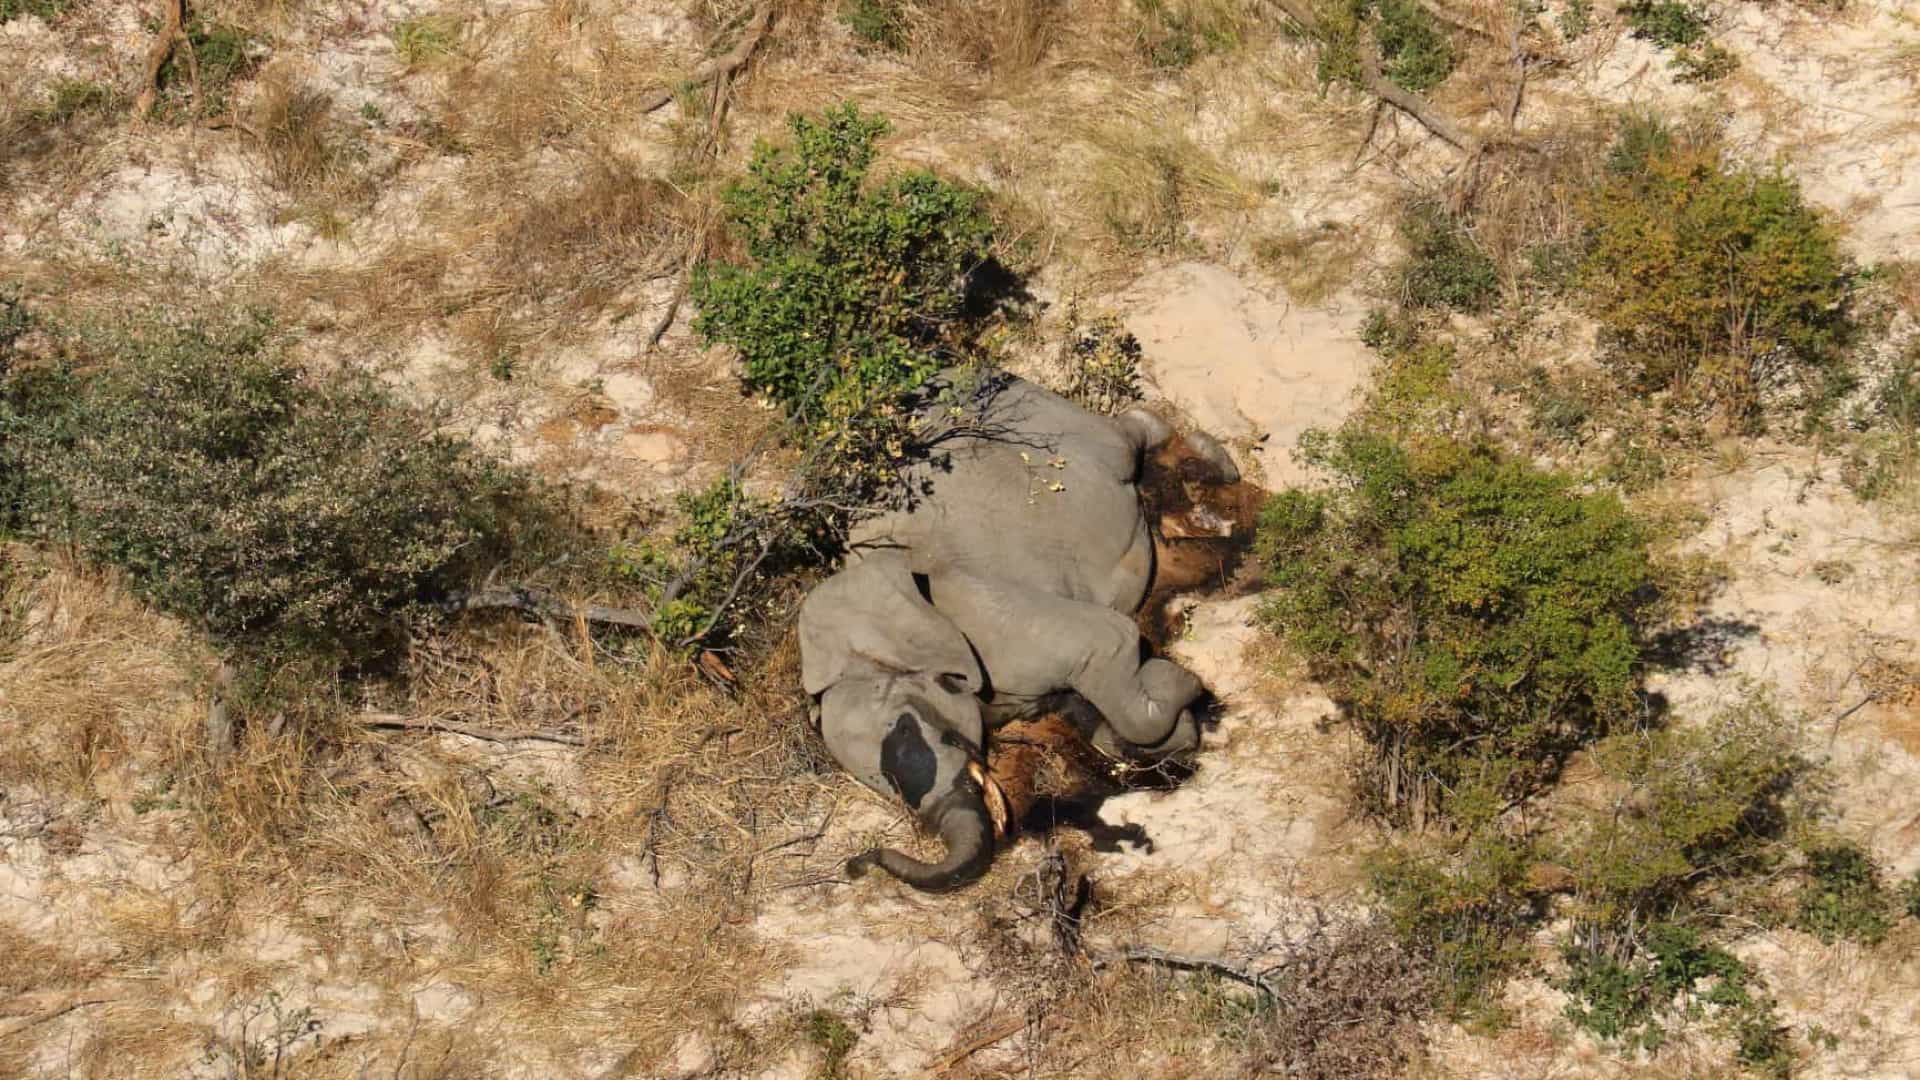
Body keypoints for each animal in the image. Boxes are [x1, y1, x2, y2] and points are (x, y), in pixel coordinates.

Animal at [798, 371, 1241, 891]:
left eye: (931, 734)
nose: (855, 863)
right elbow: (1092, 722)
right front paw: (1178, 723)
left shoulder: (988, 613)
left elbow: (1113, 641)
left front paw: (1183, 685)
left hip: (1053, 422)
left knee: (1126, 438)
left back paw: (1216, 461)